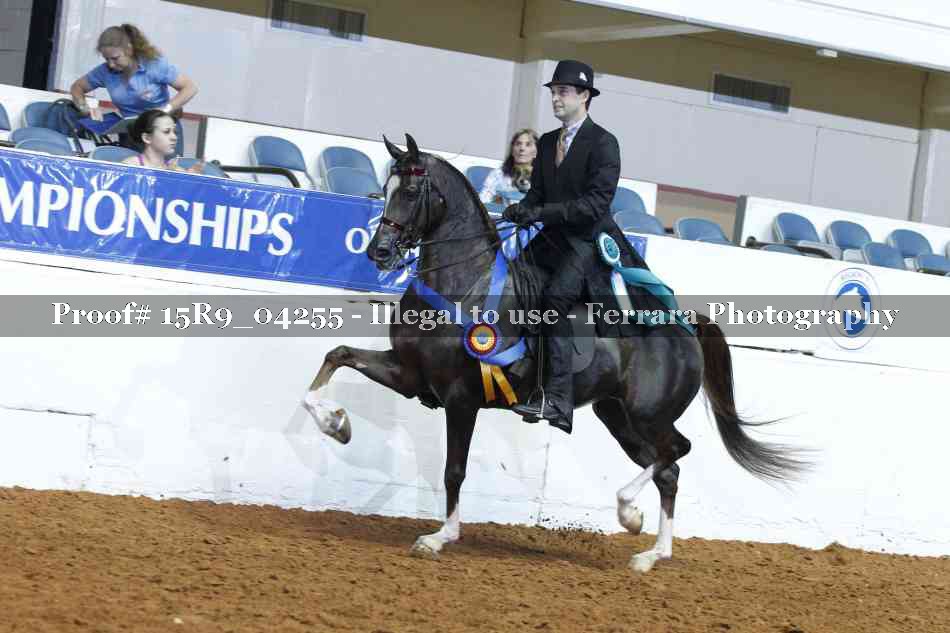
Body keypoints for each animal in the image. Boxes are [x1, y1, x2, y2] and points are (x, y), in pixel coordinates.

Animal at [303, 134, 805, 573]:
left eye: (409, 190)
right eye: (383, 188)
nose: (380, 252)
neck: (464, 281)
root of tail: (682, 325)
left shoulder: (461, 398)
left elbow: (453, 470)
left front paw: (439, 537)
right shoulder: (410, 376)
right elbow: (337, 355)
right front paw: (336, 424)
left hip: (649, 415)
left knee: (677, 451)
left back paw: (629, 513)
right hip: (618, 417)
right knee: (669, 470)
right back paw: (649, 551)